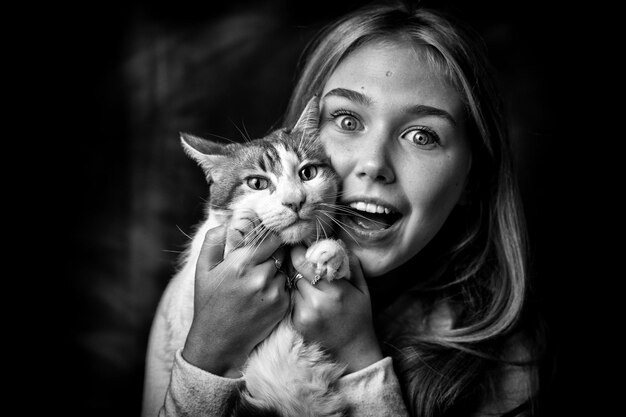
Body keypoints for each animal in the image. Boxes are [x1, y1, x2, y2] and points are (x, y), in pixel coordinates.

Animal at [168, 96, 348, 414]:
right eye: (257, 183)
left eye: (308, 173)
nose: (295, 201)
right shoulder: (184, 305)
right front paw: (240, 230)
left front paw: (332, 253)